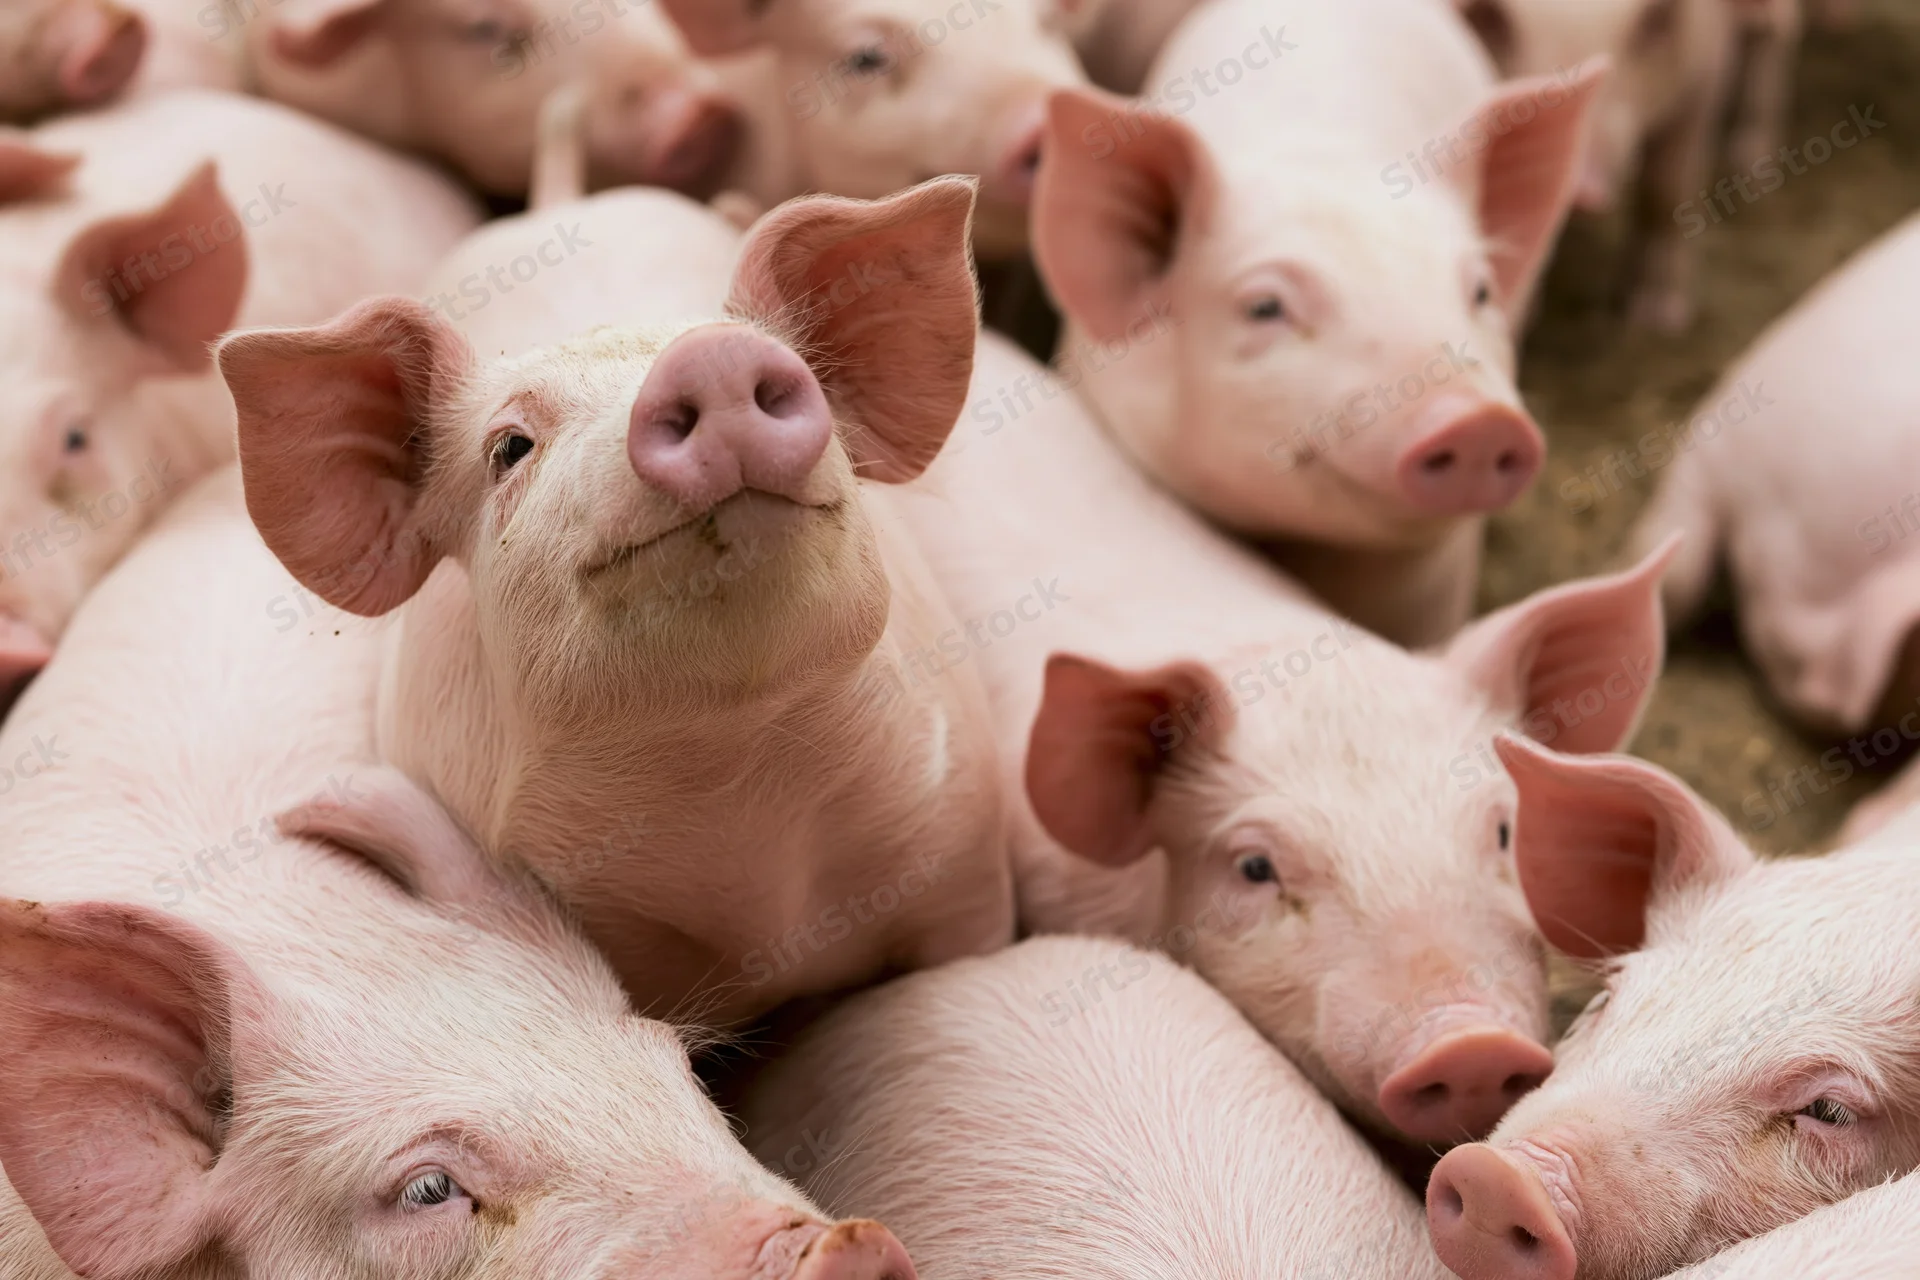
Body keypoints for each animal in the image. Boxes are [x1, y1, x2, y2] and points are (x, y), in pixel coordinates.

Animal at [1449, 0, 1790, 332]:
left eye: (1657, 18)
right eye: (1492, 18)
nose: (1578, 183)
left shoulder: (1704, 83)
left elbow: (1666, 192)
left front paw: (1659, 318)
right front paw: (1525, 316)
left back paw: (1750, 153)